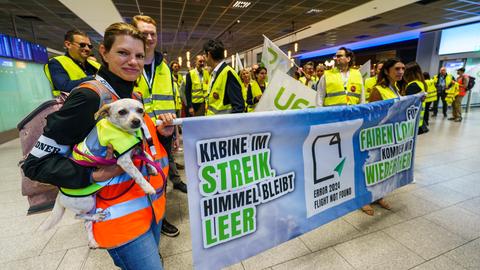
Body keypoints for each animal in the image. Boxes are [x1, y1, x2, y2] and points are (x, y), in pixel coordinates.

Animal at [39, 98, 159, 248]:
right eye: (122, 112)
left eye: (140, 110)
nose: (137, 121)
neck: (123, 131)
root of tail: (59, 196)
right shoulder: (124, 160)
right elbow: (138, 174)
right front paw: (148, 188)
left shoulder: (136, 150)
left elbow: (147, 155)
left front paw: (153, 168)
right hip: (86, 202)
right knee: (77, 216)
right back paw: (96, 217)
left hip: (91, 202)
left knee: (86, 223)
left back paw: (92, 241)